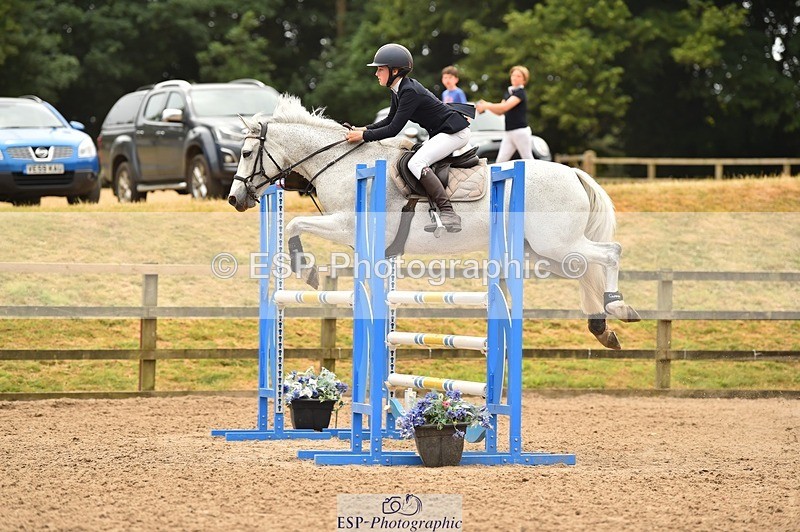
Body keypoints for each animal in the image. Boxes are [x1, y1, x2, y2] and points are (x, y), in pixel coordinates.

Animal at [228, 95, 640, 349]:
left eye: (246, 153)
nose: (234, 199)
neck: (343, 165)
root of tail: (574, 173)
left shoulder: (345, 224)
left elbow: (295, 225)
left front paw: (308, 272)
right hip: (544, 252)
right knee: (585, 269)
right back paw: (602, 329)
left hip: (555, 243)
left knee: (610, 252)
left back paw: (619, 307)